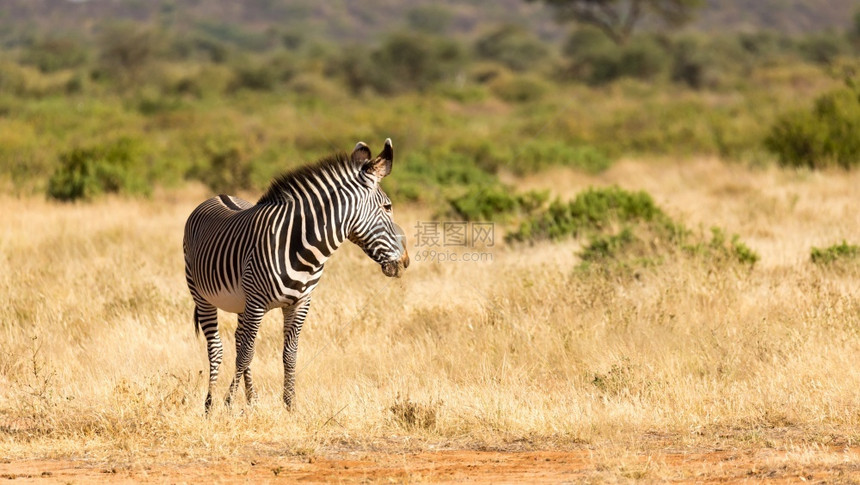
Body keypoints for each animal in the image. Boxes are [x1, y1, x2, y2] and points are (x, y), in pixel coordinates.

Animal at [182, 138, 410, 410]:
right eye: (388, 207)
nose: (406, 261)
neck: (301, 247)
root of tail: (219, 195)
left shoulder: (300, 303)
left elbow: (289, 354)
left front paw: (290, 406)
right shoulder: (256, 302)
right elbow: (247, 353)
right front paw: (228, 403)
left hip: (241, 303)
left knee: (238, 339)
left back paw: (251, 399)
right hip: (201, 295)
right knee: (217, 347)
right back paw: (209, 405)